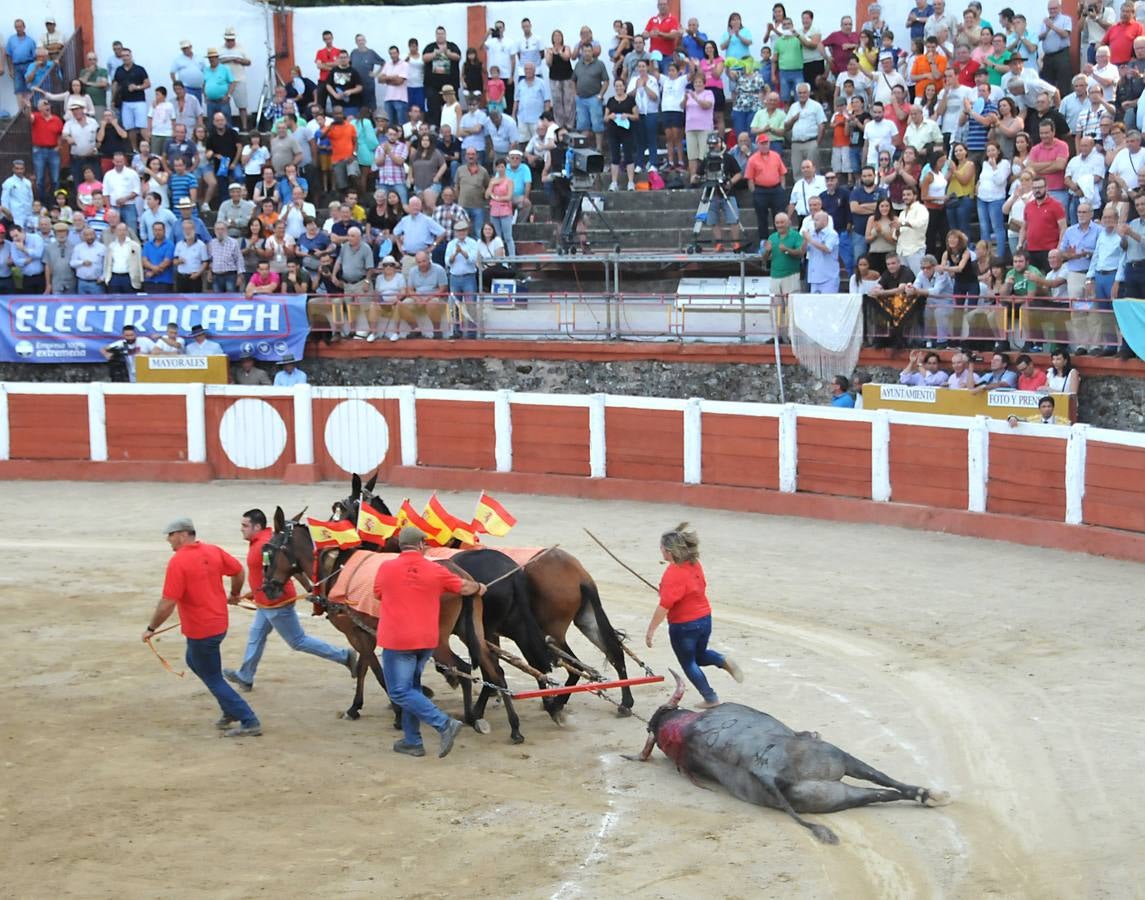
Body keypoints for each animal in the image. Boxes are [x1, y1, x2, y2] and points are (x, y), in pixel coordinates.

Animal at [262, 503, 547, 741]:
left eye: (269, 552)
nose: (268, 589)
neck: (336, 569)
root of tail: (461, 578)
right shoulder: (367, 632)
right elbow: (367, 667)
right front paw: (359, 706)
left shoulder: (357, 632)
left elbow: (376, 671)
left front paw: (396, 711)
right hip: (474, 631)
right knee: (494, 671)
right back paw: (509, 725)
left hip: (443, 638)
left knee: (465, 667)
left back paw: (473, 715)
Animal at [334, 474, 641, 719]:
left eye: (343, 509)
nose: (338, 545)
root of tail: (578, 573)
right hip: (583, 619)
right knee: (611, 651)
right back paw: (621, 701)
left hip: (548, 628)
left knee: (570, 665)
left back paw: (550, 704)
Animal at [627, 673, 948, 842]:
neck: (686, 728)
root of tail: (767, 772)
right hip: (837, 757)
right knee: (883, 782)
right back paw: (931, 794)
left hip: (833, 796)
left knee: (878, 793)